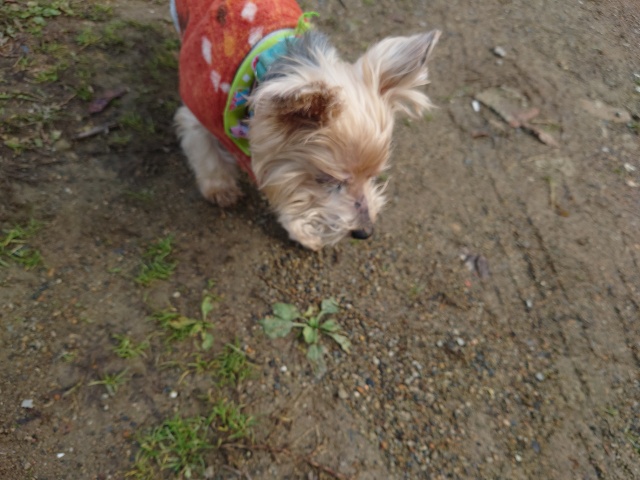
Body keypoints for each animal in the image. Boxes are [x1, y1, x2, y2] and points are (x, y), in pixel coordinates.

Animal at [171, 0, 440, 250]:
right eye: (328, 180)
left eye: (373, 176)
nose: (364, 232)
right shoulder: (197, 112)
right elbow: (206, 152)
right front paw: (219, 187)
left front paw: (304, 232)